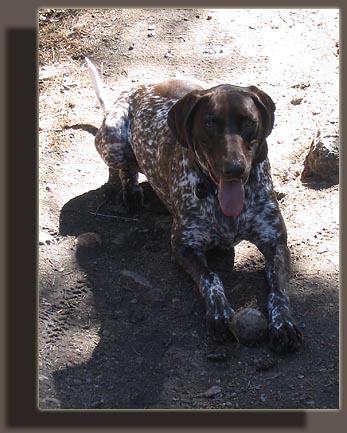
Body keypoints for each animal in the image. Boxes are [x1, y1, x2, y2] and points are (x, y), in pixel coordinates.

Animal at [86, 57, 302, 352]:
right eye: (209, 123)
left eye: (249, 122)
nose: (234, 169)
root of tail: (137, 89)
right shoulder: (184, 247)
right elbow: (211, 278)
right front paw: (219, 313)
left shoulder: (275, 243)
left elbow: (278, 290)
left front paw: (283, 323)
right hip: (114, 141)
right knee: (125, 168)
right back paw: (130, 190)